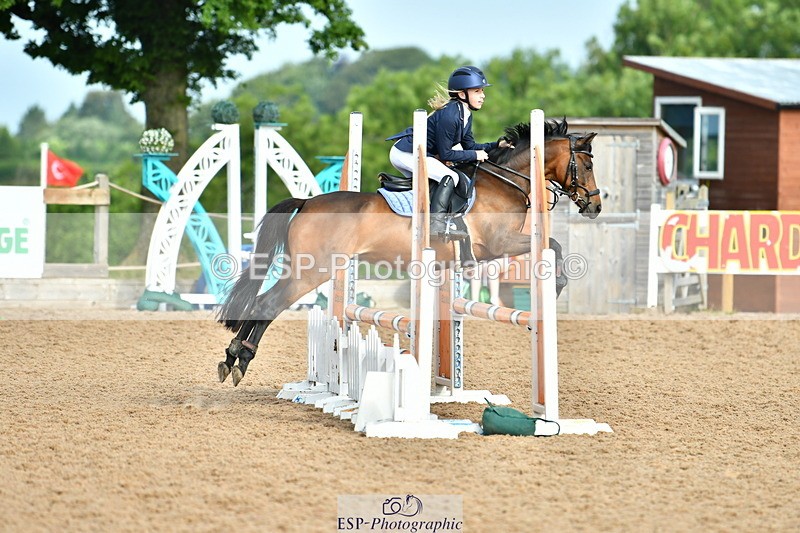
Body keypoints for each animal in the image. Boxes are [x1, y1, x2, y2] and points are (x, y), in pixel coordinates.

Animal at [216, 118, 600, 386]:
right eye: (588, 165)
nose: (595, 207)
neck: (504, 182)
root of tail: (307, 202)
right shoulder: (498, 244)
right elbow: (554, 247)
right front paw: (555, 288)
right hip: (312, 271)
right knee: (268, 305)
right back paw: (241, 359)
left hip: (307, 268)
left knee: (261, 302)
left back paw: (231, 357)